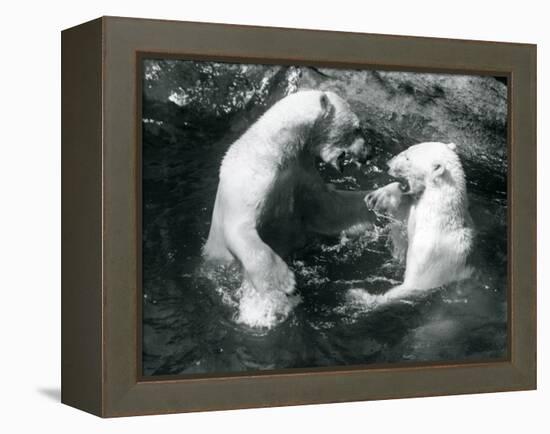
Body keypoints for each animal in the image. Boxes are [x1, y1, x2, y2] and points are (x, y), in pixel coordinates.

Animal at [205, 90, 378, 326]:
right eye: (357, 128)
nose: (369, 153)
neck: (277, 149)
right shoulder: (251, 180)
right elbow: (239, 229)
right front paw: (285, 282)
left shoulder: (301, 173)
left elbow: (329, 208)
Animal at [356, 142, 476, 306]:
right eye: (408, 149)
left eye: (408, 158)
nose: (388, 164)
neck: (438, 218)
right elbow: (402, 228)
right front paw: (377, 196)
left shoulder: (431, 255)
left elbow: (414, 285)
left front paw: (364, 297)